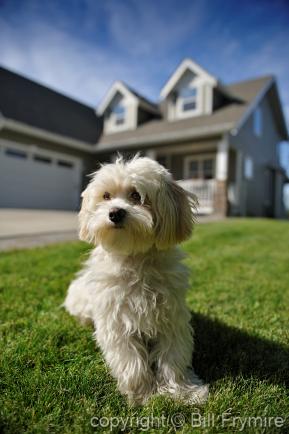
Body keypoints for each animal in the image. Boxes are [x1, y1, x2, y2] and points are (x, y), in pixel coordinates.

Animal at [63, 157, 207, 406]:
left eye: (136, 196)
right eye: (106, 196)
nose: (115, 213)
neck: (135, 258)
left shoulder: (171, 317)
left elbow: (173, 357)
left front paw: (182, 390)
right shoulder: (117, 322)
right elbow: (131, 361)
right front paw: (143, 394)